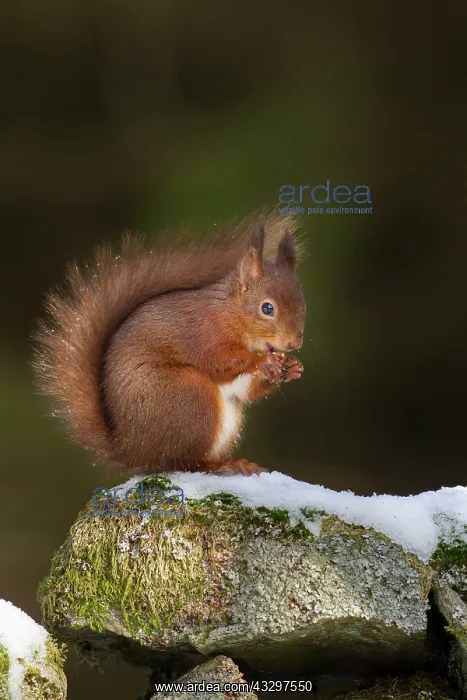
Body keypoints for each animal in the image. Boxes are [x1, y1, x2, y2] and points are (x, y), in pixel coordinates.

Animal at [33, 213, 306, 477]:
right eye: (267, 308)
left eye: (303, 304)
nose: (294, 343)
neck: (232, 314)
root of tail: (132, 451)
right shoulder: (203, 333)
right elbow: (217, 361)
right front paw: (262, 361)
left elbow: (247, 391)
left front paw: (292, 367)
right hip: (190, 396)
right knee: (182, 462)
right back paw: (225, 465)